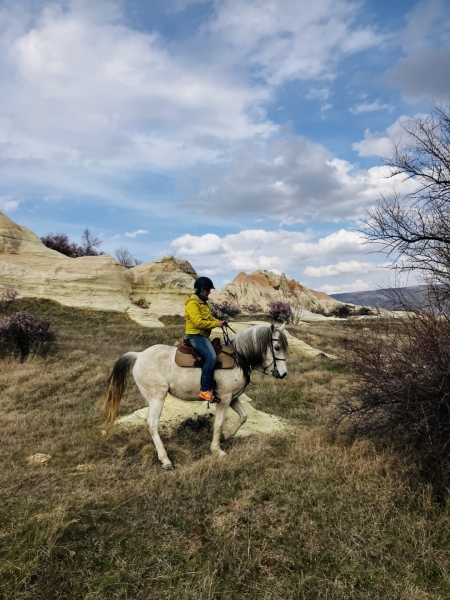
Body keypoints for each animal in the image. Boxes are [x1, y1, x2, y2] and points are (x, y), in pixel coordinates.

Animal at [99, 324, 288, 468]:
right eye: (277, 347)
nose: (284, 374)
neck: (238, 358)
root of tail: (139, 355)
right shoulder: (225, 398)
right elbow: (218, 424)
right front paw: (217, 450)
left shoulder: (233, 398)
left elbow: (244, 417)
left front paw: (226, 436)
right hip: (157, 397)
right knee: (152, 423)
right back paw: (165, 459)